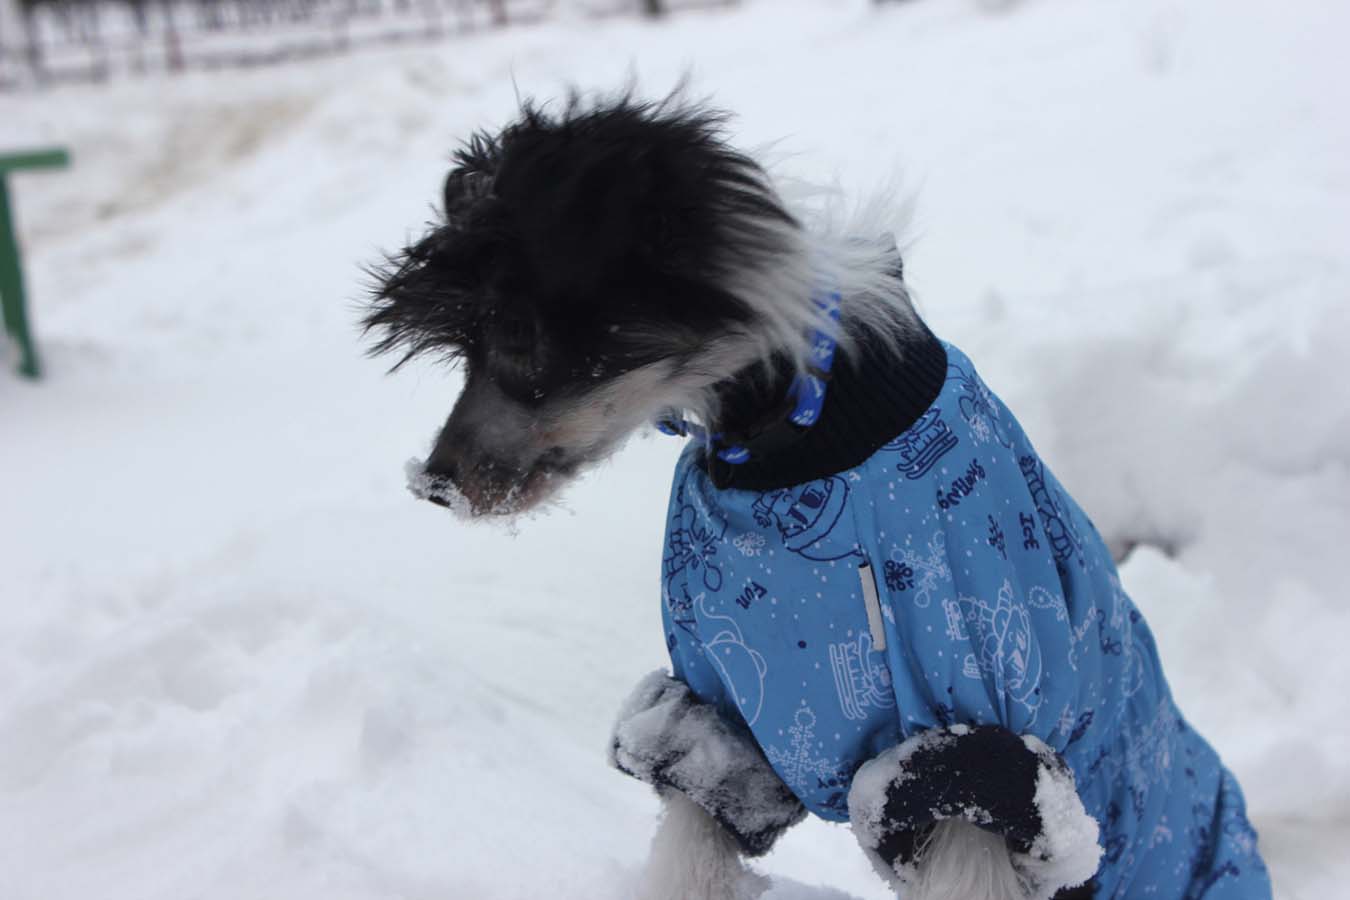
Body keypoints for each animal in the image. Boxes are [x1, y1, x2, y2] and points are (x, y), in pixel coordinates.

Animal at [364, 93, 1272, 900]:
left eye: (518, 335)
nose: (432, 482)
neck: (794, 452)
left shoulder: (974, 751)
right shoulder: (717, 716)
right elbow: (691, 856)